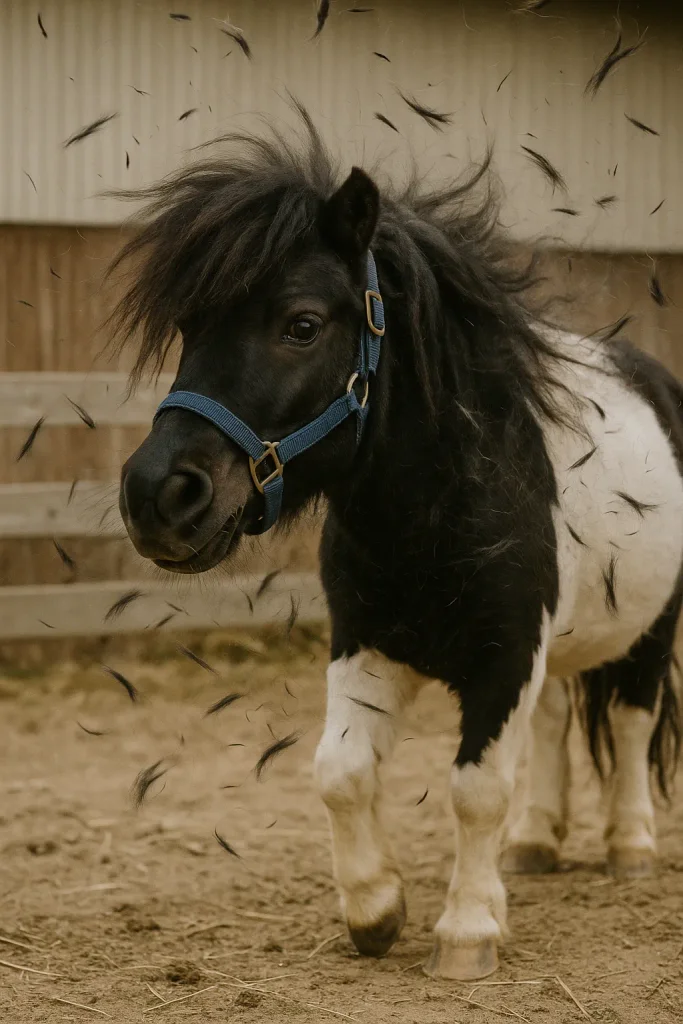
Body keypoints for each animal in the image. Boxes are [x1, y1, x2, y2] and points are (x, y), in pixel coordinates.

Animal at [109, 110, 683, 981]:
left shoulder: (504, 657)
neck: (436, 513)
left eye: (301, 324)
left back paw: (630, 847)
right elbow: (340, 772)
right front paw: (376, 908)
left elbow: (475, 787)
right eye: (188, 327)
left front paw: (467, 931)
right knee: (555, 724)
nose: (156, 496)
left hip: (650, 633)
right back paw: (535, 843)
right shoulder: (369, 644)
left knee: (628, 722)